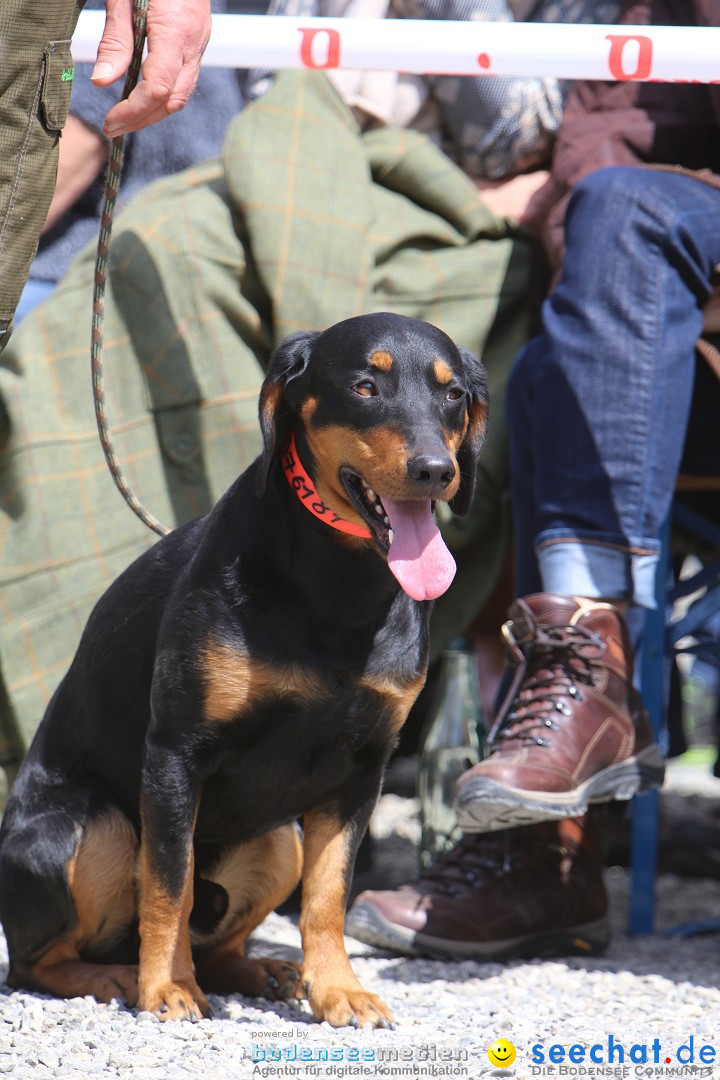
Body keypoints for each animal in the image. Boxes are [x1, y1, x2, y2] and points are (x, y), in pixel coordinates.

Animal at [0, 313, 490, 1028]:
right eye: (365, 387)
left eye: (453, 395)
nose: (435, 470)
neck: (337, 587)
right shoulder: (175, 752)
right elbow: (168, 886)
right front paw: (165, 988)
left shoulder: (361, 770)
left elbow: (328, 895)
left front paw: (337, 989)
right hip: (92, 829)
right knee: (40, 960)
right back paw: (119, 975)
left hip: (280, 838)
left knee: (223, 942)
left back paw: (264, 971)